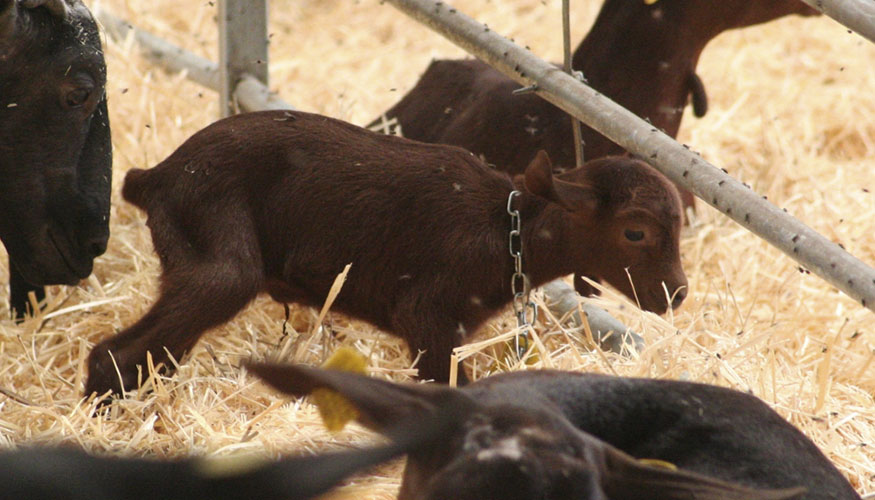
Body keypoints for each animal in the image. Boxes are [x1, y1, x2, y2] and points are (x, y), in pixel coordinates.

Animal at [85, 111, 688, 396]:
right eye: (635, 233)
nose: (676, 294)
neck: (507, 230)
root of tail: (155, 176)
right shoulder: (427, 315)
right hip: (217, 253)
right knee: (114, 353)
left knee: (151, 353)